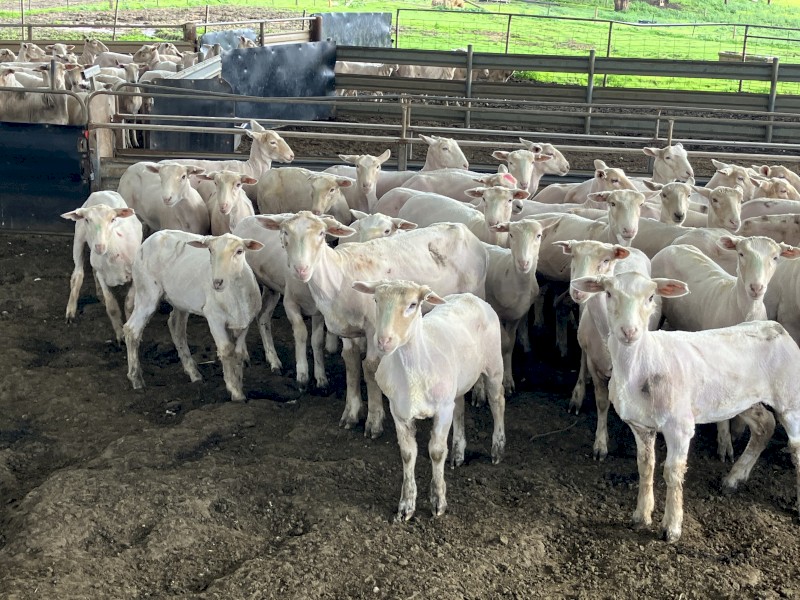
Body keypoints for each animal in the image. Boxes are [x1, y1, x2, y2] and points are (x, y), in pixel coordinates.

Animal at [61, 191, 143, 343]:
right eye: (87, 220)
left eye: (113, 219)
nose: (99, 246)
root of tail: (101, 191)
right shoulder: (102, 275)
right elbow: (112, 307)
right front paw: (120, 336)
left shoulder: (136, 276)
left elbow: (129, 304)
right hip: (79, 238)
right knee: (78, 274)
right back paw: (71, 311)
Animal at [123, 231, 263, 401]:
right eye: (210, 250)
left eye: (239, 251)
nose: (217, 282)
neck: (235, 293)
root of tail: (152, 237)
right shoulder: (214, 318)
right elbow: (227, 351)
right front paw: (236, 393)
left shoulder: (244, 322)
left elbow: (238, 354)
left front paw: (240, 387)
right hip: (147, 292)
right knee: (131, 330)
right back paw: (136, 380)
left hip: (180, 300)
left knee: (176, 327)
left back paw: (194, 374)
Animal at [255, 212, 488, 438]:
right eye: (284, 232)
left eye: (321, 233)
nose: (301, 270)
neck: (338, 278)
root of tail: (464, 229)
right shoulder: (348, 330)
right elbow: (351, 364)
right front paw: (351, 413)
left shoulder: (375, 329)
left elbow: (370, 368)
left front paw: (374, 421)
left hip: (476, 292)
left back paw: (479, 392)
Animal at [352, 279, 504, 520]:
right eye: (376, 299)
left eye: (413, 305)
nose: (383, 341)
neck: (414, 370)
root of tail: (470, 296)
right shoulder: (399, 411)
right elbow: (407, 454)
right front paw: (406, 505)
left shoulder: (442, 410)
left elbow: (436, 452)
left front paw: (438, 502)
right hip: (456, 384)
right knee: (460, 408)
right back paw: (458, 454)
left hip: (494, 366)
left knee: (498, 402)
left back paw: (497, 449)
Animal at [571, 271, 800, 543]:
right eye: (608, 293)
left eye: (651, 296)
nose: (629, 331)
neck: (644, 360)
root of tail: (777, 328)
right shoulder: (640, 425)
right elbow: (645, 466)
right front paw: (640, 516)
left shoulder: (679, 426)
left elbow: (672, 473)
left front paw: (671, 527)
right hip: (741, 398)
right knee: (765, 425)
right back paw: (733, 479)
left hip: (790, 399)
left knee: (795, 447)